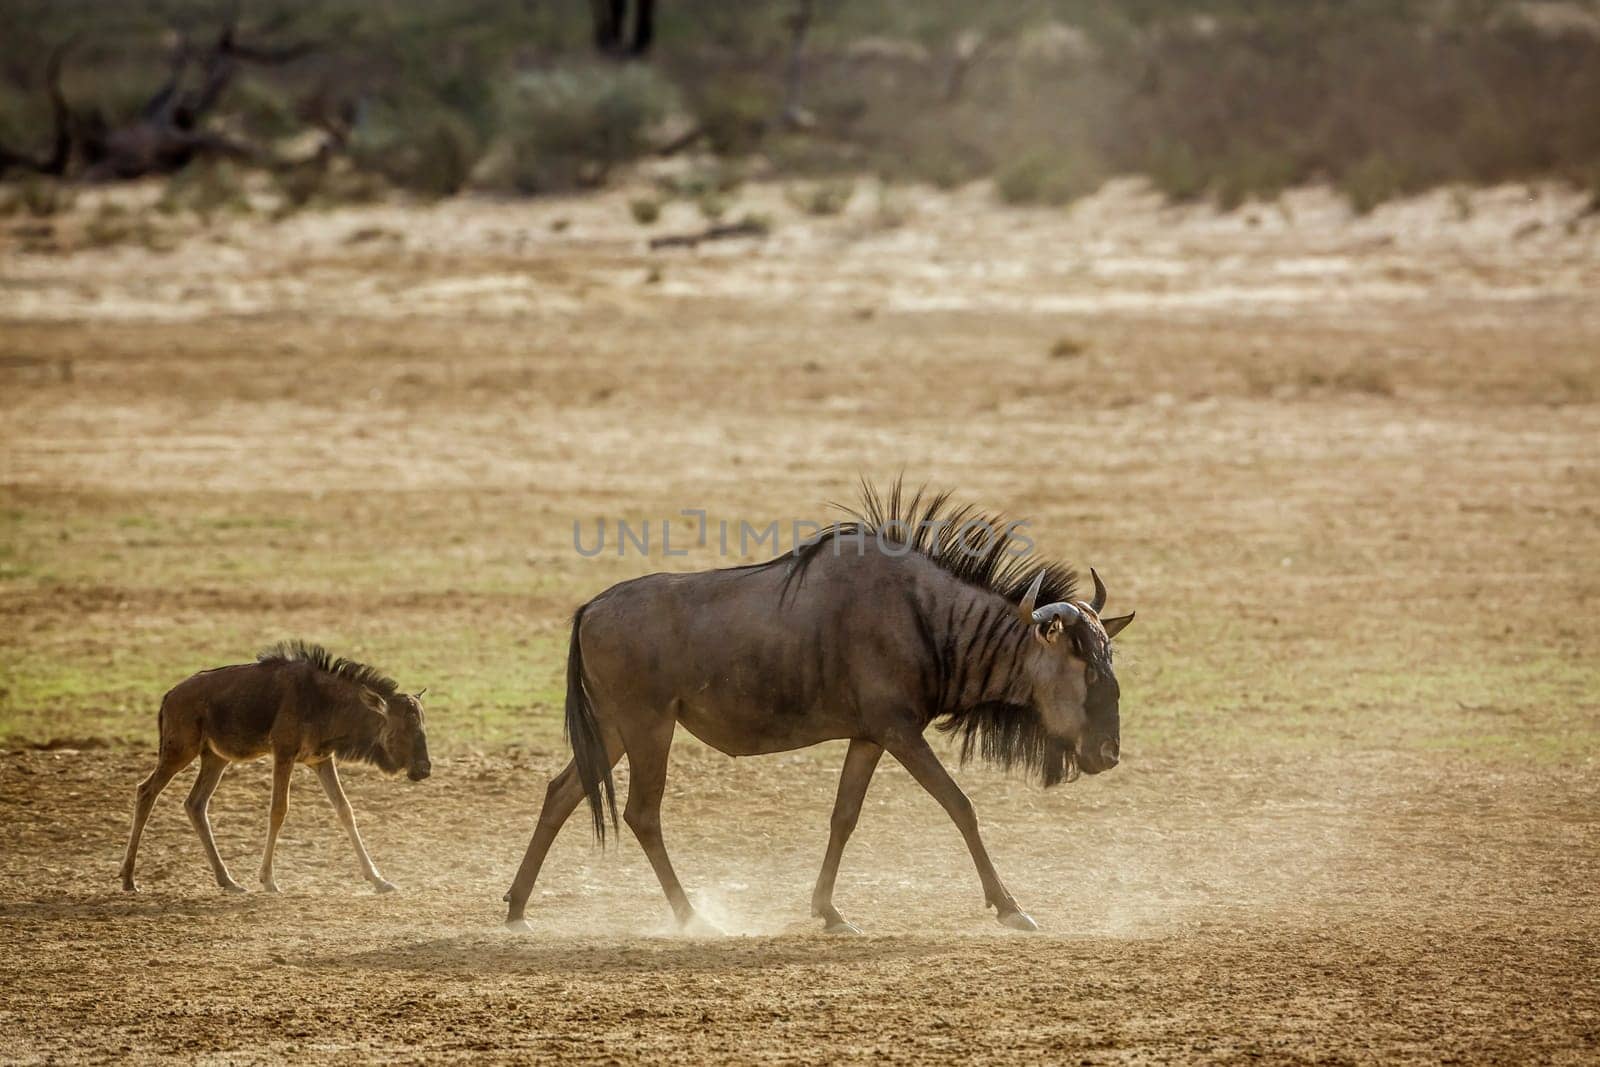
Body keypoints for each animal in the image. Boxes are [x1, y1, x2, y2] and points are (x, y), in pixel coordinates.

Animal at [119, 639, 432, 895]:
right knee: (146, 791)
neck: (325, 703)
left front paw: (380, 881)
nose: (423, 769)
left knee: (195, 804)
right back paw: (129, 878)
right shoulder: (283, 753)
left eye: (422, 723)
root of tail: (169, 696)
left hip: (215, 757)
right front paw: (268, 880)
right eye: (402, 727)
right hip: (180, 751)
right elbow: (278, 810)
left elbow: (345, 810)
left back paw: (228, 881)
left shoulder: (321, 759)